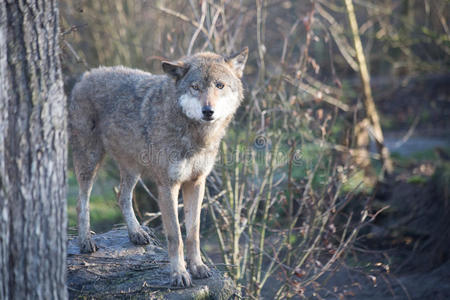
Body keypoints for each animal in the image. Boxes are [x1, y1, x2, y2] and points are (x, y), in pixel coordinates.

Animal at [68, 48, 248, 288]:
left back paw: (136, 233)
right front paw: (179, 274)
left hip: (132, 167)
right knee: (81, 202)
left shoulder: (196, 182)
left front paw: (198, 267)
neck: (194, 135)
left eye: (219, 85)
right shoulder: (167, 186)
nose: (208, 111)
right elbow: (176, 236)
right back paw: (86, 240)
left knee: (122, 197)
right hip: (90, 161)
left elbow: (193, 233)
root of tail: (85, 76)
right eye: (195, 87)